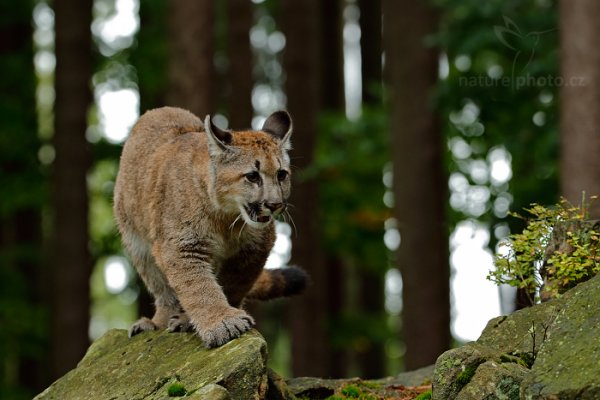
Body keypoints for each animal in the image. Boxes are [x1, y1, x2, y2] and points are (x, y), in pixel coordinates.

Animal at [114, 106, 308, 346]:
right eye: (252, 176)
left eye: (281, 174)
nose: (274, 204)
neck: (226, 218)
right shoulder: (181, 246)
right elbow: (198, 286)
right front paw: (222, 323)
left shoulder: (256, 248)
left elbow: (233, 283)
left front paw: (214, 317)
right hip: (139, 245)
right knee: (163, 289)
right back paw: (157, 322)